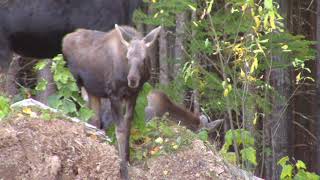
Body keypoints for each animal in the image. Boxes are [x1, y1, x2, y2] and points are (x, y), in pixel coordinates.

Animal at [62, 24, 161, 179]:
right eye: (127, 57)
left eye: (144, 58)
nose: (132, 79)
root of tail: (64, 39)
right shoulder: (114, 94)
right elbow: (119, 129)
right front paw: (123, 169)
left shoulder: (133, 94)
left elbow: (128, 124)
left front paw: (128, 159)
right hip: (74, 84)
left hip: (92, 90)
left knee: (95, 119)